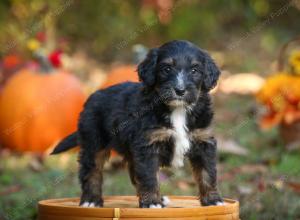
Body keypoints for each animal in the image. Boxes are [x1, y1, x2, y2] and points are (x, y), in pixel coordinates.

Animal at [51, 40, 224, 208]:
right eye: (167, 69)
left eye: (194, 70)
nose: (180, 90)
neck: (178, 110)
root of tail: (93, 96)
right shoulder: (147, 145)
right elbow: (149, 177)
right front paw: (152, 203)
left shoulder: (203, 141)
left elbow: (207, 173)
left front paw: (213, 200)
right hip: (93, 142)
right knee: (91, 171)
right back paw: (91, 200)